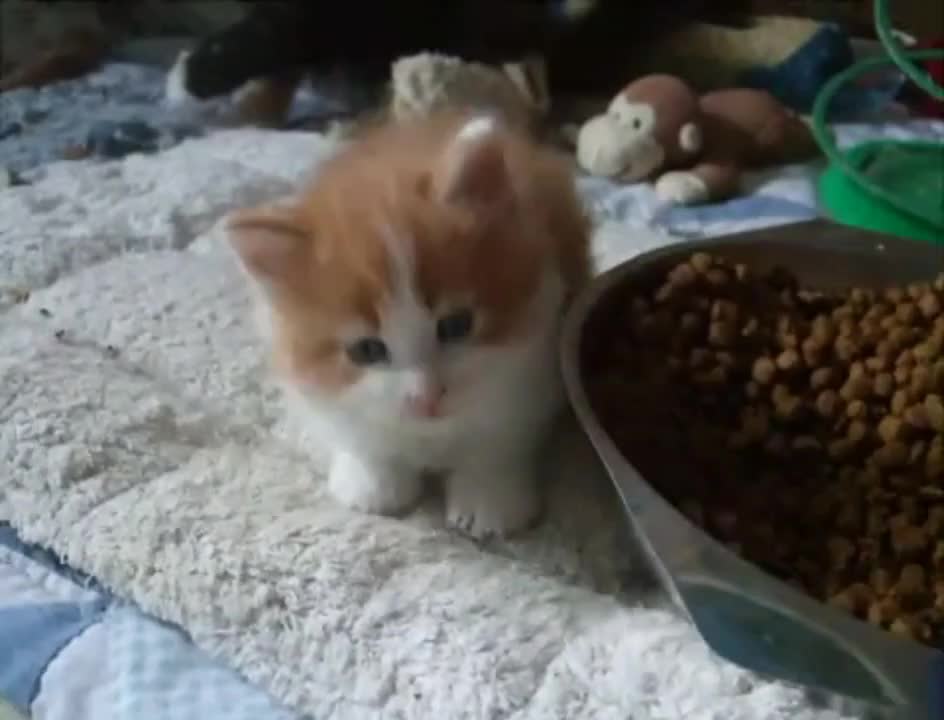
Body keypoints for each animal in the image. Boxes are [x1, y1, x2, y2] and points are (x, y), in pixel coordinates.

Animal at [226, 112, 592, 536]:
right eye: (368, 350)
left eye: (456, 325)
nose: (426, 397)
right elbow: (362, 439)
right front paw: (373, 486)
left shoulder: (531, 368)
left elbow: (497, 440)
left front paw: (489, 498)